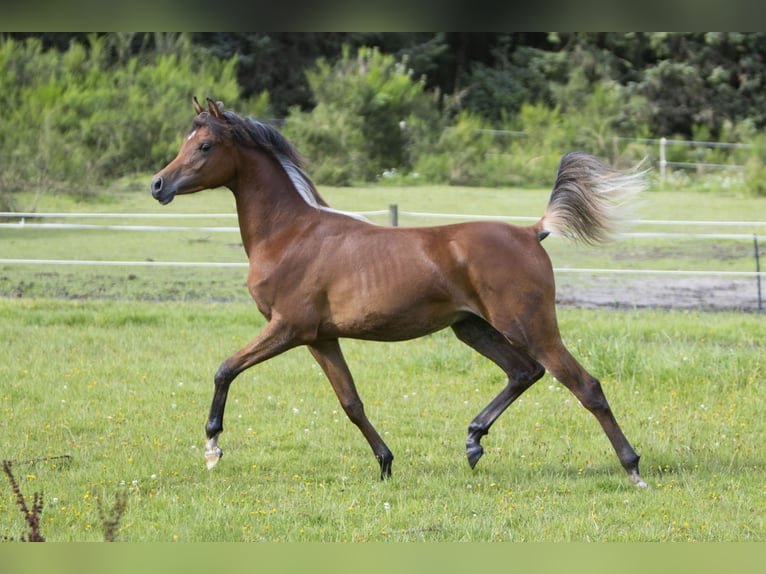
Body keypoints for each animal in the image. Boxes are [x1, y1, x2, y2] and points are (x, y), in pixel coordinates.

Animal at [153, 99, 652, 490]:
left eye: (204, 146)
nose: (158, 185)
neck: (291, 234)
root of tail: (531, 232)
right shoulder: (321, 337)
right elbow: (351, 402)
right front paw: (386, 463)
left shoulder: (288, 327)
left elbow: (225, 369)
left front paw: (212, 448)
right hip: (472, 328)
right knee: (523, 372)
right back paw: (473, 441)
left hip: (529, 326)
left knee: (585, 385)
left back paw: (633, 469)